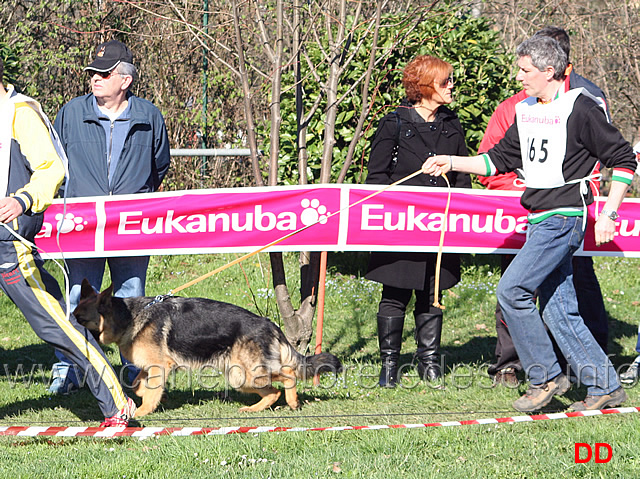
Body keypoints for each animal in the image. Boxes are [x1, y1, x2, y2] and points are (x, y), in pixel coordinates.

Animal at [74, 280, 344, 418]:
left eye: (80, 319)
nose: (70, 324)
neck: (130, 317)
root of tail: (270, 324)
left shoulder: (160, 366)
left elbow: (150, 391)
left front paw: (141, 412)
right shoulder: (153, 366)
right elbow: (139, 383)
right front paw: (142, 395)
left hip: (248, 374)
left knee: (287, 376)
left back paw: (293, 401)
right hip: (240, 377)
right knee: (272, 392)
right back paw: (254, 408)